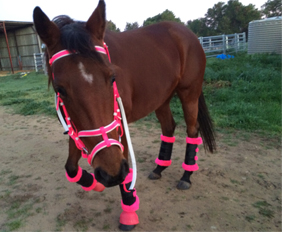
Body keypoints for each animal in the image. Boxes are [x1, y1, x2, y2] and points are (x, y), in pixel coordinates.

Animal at [32, 0, 215, 230]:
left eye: (113, 78)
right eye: (60, 89)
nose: (108, 174)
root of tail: (186, 33)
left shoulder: (120, 132)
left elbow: (125, 174)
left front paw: (128, 212)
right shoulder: (78, 129)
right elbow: (71, 168)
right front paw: (95, 184)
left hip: (189, 93)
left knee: (192, 130)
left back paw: (186, 175)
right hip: (161, 98)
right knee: (168, 127)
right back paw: (159, 168)